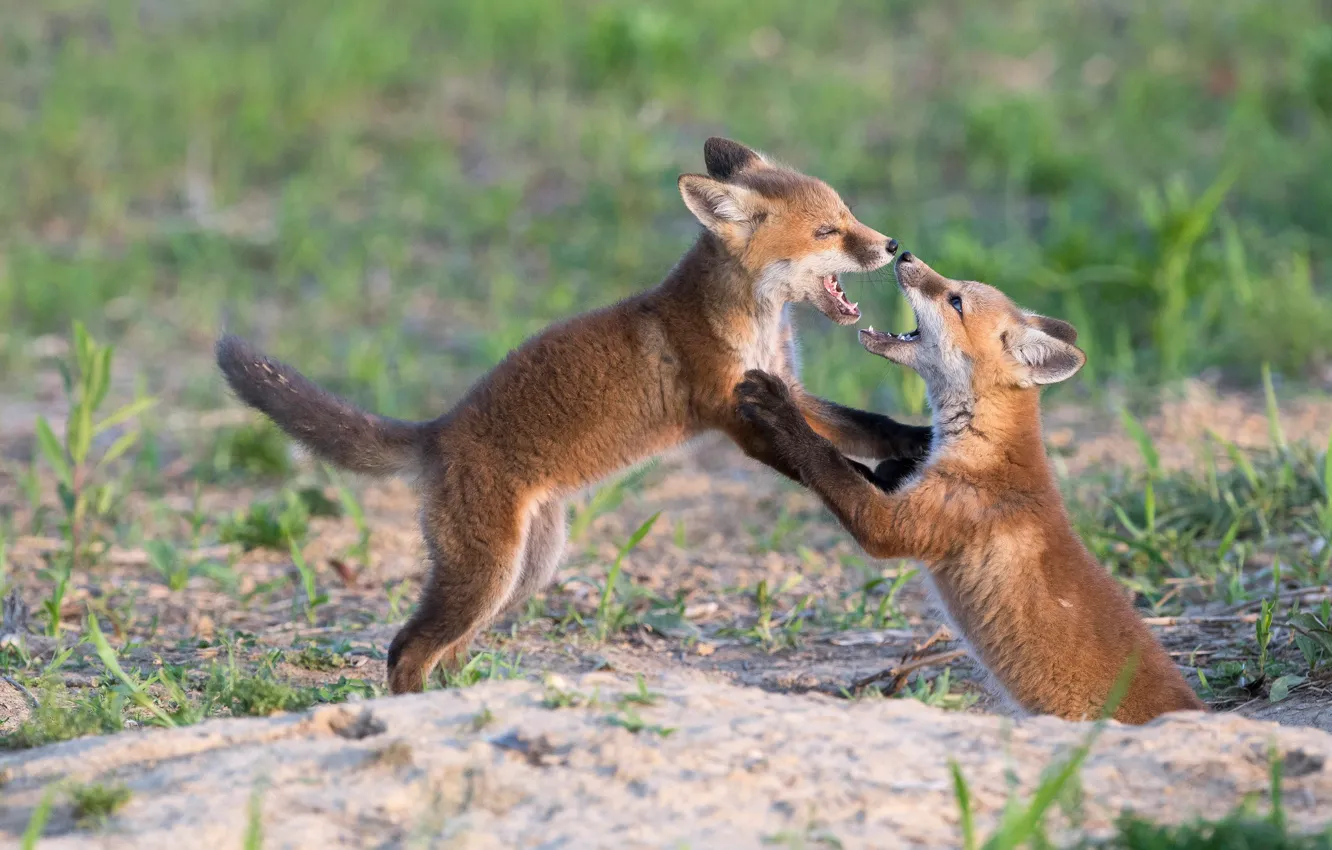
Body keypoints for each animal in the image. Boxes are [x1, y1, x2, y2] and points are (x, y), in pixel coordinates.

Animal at [216, 138, 932, 694]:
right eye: (827, 232)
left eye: (849, 214)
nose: (893, 245)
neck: (750, 321)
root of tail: (438, 430)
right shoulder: (737, 418)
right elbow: (822, 460)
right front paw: (880, 491)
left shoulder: (784, 389)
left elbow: (865, 425)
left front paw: (917, 444)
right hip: (485, 577)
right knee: (406, 651)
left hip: (523, 573)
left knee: (446, 652)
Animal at [734, 250, 1206, 724]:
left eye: (955, 301)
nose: (904, 254)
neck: (987, 449)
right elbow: (866, 470)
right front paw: (893, 463)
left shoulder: (893, 525)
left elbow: (825, 460)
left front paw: (780, 409)